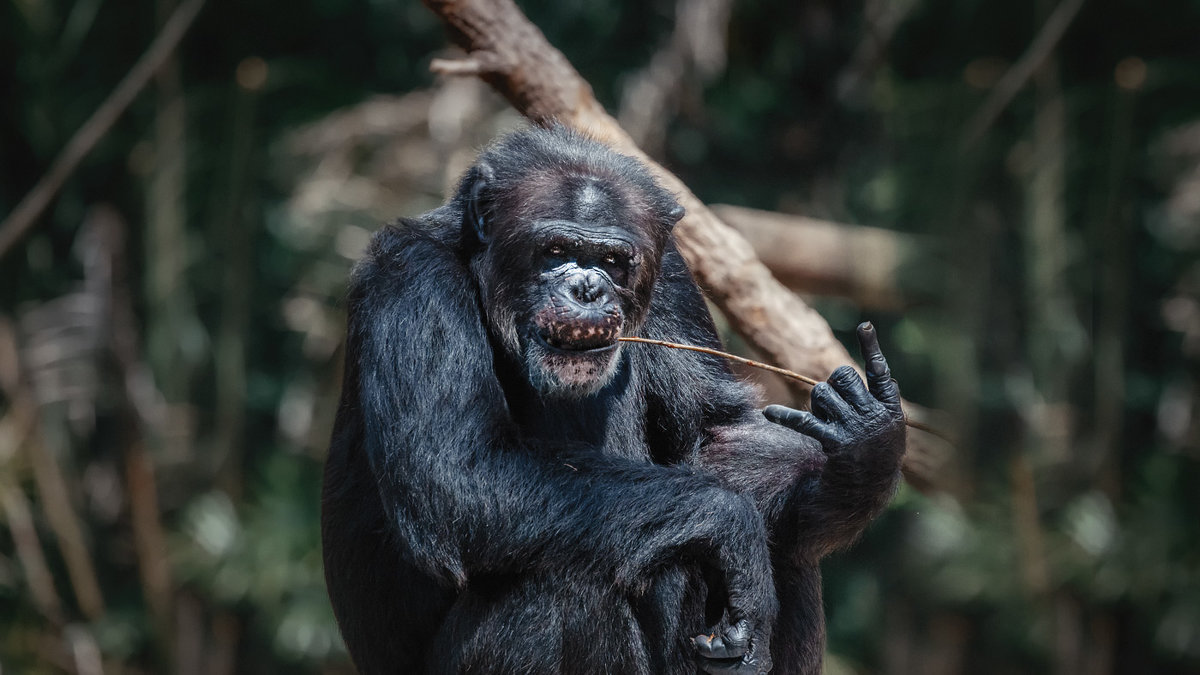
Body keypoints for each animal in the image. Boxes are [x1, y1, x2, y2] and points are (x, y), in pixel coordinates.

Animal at [324, 126, 902, 672]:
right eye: (555, 252)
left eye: (612, 260)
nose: (587, 289)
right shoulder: (411, 281)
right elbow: (455, 469)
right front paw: (733, 528)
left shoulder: (671, 277)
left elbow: (718, 432)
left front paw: (864, 451)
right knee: (559, 581)